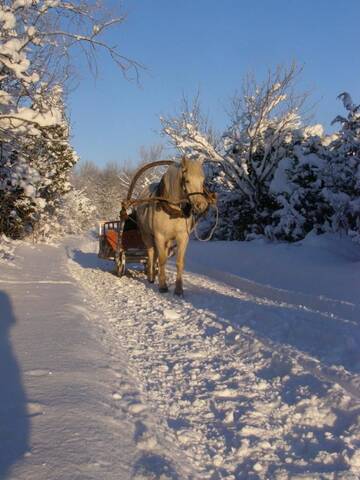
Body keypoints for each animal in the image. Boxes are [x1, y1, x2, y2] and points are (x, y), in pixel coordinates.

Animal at [136, 156, 210, 294]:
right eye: (187, 180)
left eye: (202, 180)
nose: (201, 205)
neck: (172, 210)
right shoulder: (159, 236)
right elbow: (162, 260)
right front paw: (163, 286)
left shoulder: (183, 237)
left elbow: (179, 262)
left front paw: (179, 289)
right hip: (146, 234)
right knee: (151, 253)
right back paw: (151, 277)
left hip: (168, 240)